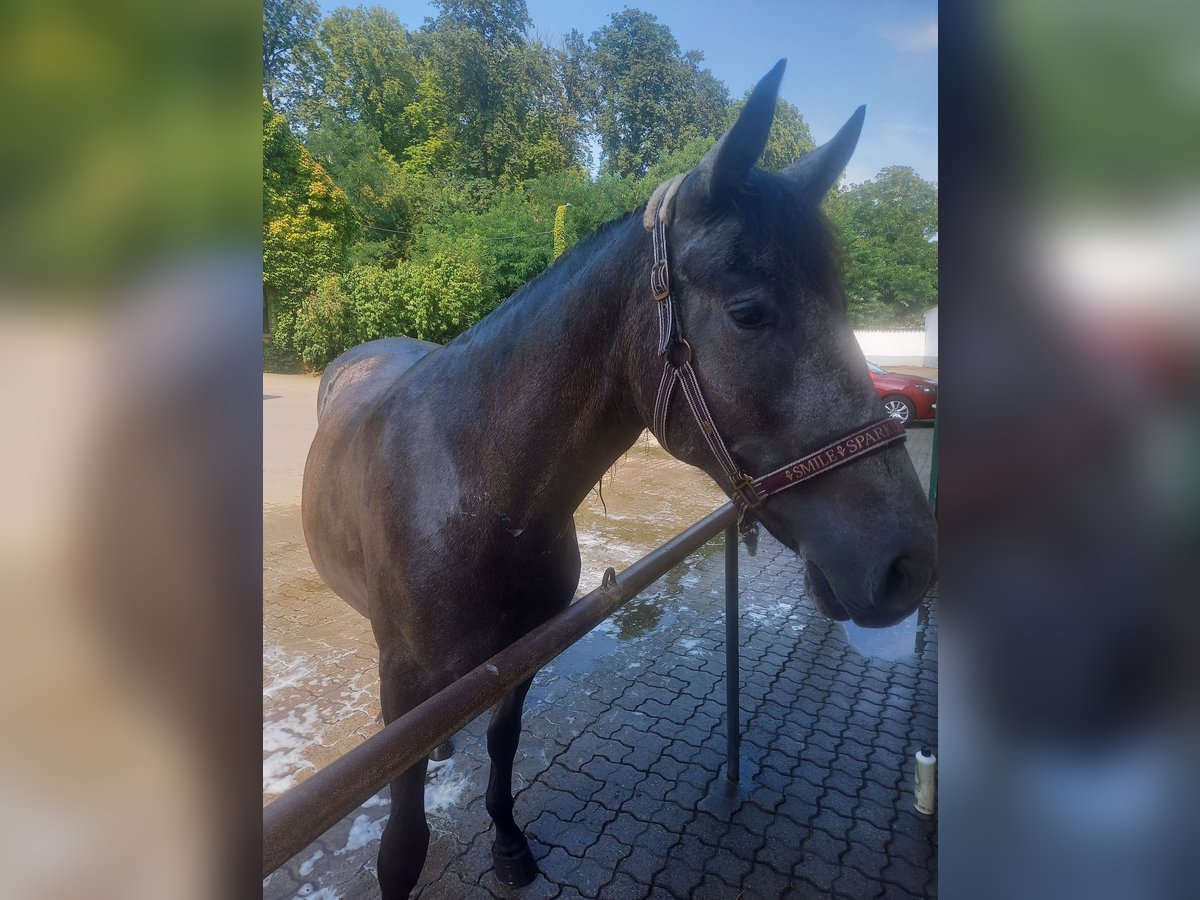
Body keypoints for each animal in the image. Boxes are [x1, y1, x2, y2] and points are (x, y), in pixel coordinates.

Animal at [302, 60, 936, 897]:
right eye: (748, 312)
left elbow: (504, 747)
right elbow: (402, 842)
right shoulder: (402, 684)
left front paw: (509, 844)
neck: (473, 490)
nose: (909, 565)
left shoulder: (521, 659)